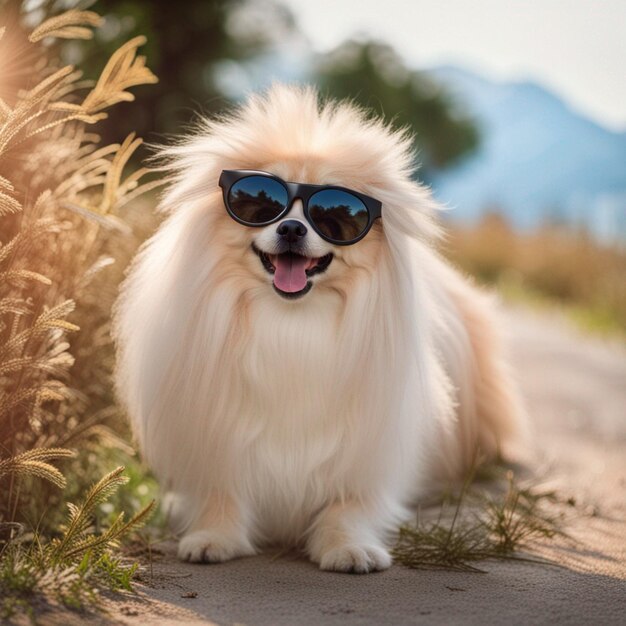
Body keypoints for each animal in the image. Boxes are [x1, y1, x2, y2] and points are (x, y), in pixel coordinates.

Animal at [114, 83, 524, 572]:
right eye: (260, 203)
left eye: (336, 216)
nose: (291, 227)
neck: (291, 322)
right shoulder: (217, 438)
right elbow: (221, 492)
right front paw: (214, 536)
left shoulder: (362, 457)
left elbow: (345, 505)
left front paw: (348, 547)